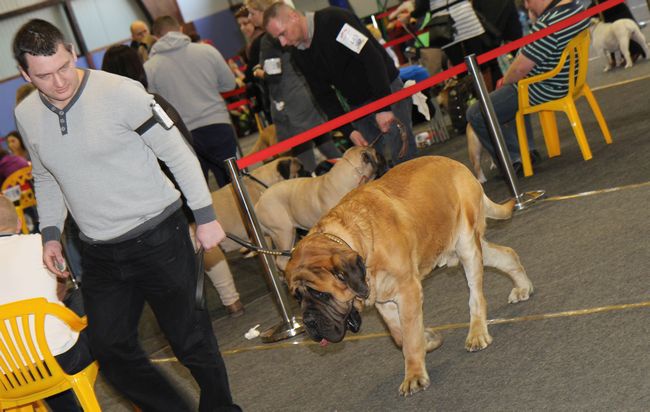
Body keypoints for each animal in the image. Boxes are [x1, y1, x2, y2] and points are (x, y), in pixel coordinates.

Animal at [284, 155, 532, 396]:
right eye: (297, 298)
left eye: (321, 294)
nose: (309, 323)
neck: (354, 240)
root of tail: (456, 164)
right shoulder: (383, 299)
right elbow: (398, 334)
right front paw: (428, 339)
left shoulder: (408, 290)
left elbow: (410, 336)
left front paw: (414, 375)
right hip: (463, 247)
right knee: (506, 253)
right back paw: (522, 287)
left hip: (466, 245)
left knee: (476, 296)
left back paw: (477, 332)